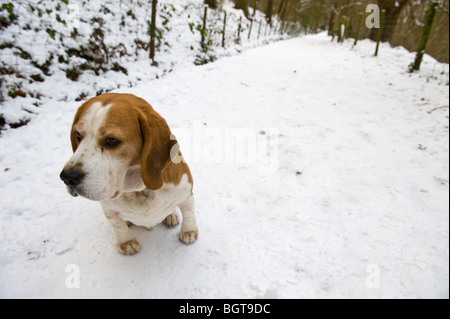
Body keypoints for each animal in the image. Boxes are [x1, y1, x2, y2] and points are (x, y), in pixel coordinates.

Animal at [60, 94, 199, 256]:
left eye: (112, 140)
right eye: (77, 135)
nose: (67, 177)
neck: (138, 190)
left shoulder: (186, 195)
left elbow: (188, 214)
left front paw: (189, 232)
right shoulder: (109, 210)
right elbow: (118, 226)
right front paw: (127, 242)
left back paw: (171, 216)